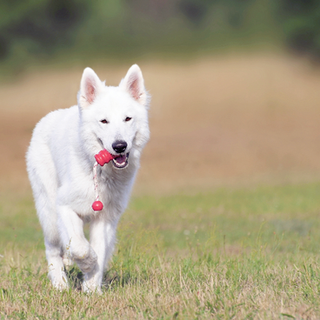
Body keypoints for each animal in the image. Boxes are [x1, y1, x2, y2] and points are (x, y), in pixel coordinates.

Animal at [26, 64, 150, 292]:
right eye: (104, 121)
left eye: (127, 119)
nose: (120, 146)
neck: (100, 172)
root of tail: (47, 118)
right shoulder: (64, 206)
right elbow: (80, 247)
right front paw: (87, 264)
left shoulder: (105, 218)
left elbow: (99, 249)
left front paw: (92, 289)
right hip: (49, 212)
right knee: (52, 248)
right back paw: (60, 284)